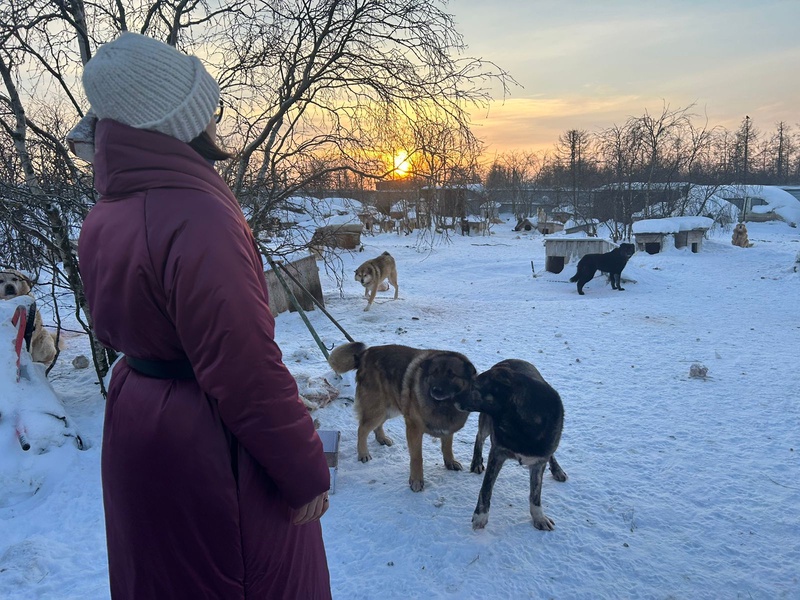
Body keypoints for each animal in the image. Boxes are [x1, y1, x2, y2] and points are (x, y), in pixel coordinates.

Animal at [330, 342, 478, 492]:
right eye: (434, 373)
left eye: (451, 375)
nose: (436, 390)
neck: (443, 406)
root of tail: (365, 354)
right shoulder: (414, 429)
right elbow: (417, 457)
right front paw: (416, 481)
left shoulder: (448, 428)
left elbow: (447, 447)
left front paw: (450, 462)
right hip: (378, 410)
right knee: (362, 429)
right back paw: (363, 453)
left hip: (390, 408)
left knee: (377, 426)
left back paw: (382, 438)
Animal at [456, 356, 568, 528]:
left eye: (474, 386)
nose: (453, 398)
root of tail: (511, 359)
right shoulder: (497, 453)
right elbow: (486, 488)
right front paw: (481, 516)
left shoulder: (539, 461)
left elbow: (535, 494)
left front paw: (539, 518)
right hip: (486, 423)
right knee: (479, 437)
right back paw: (476, 462)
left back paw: (557, 469)